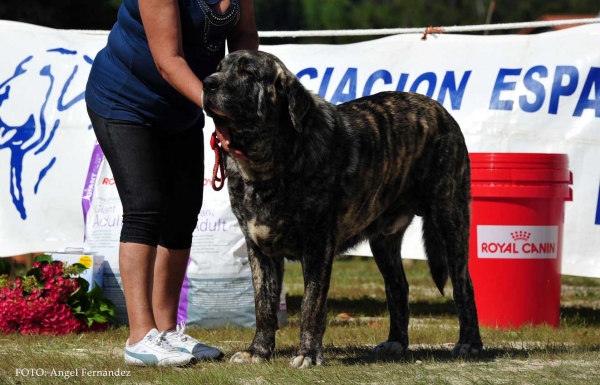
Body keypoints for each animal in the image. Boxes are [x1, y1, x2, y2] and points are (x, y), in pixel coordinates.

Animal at [202, 51, 482, 366]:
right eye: (219, 68)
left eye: (247, 72)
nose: (207, 83)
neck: (269, 162)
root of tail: (440, 110)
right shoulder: (259, 250)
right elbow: (264, 305)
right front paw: (258, 351)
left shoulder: (318, 246)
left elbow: (311, 306)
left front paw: (307, 354)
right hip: (383, 242)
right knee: (398, 287)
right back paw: (396, 342)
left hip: (449, 219)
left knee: (463, 284)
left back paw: (469, 343)